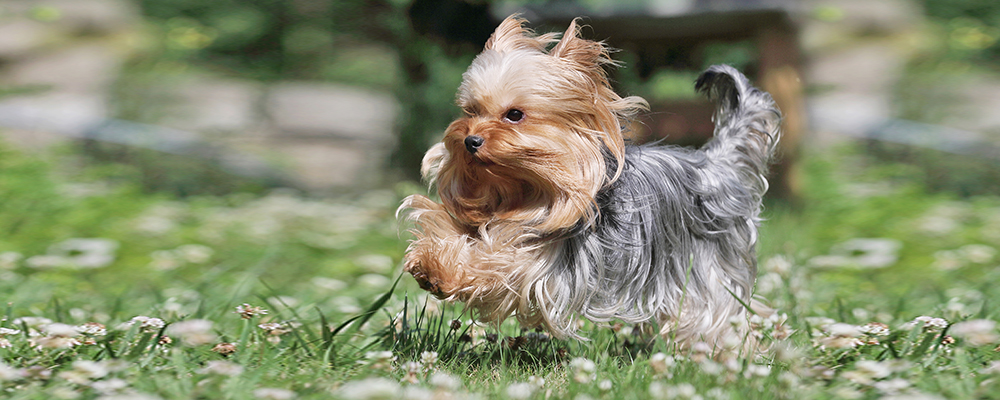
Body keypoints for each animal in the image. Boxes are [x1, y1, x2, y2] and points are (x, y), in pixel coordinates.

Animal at [398, 14, 780, 348]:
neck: (526, 187)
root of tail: (714, 163)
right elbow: (452, 228)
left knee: (716, 314)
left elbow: (503, 263)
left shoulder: (543, 268)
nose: (470, 141)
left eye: (515, 115)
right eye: (471, 111)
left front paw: (446, 273)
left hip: (706, 270)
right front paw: (431, 263)